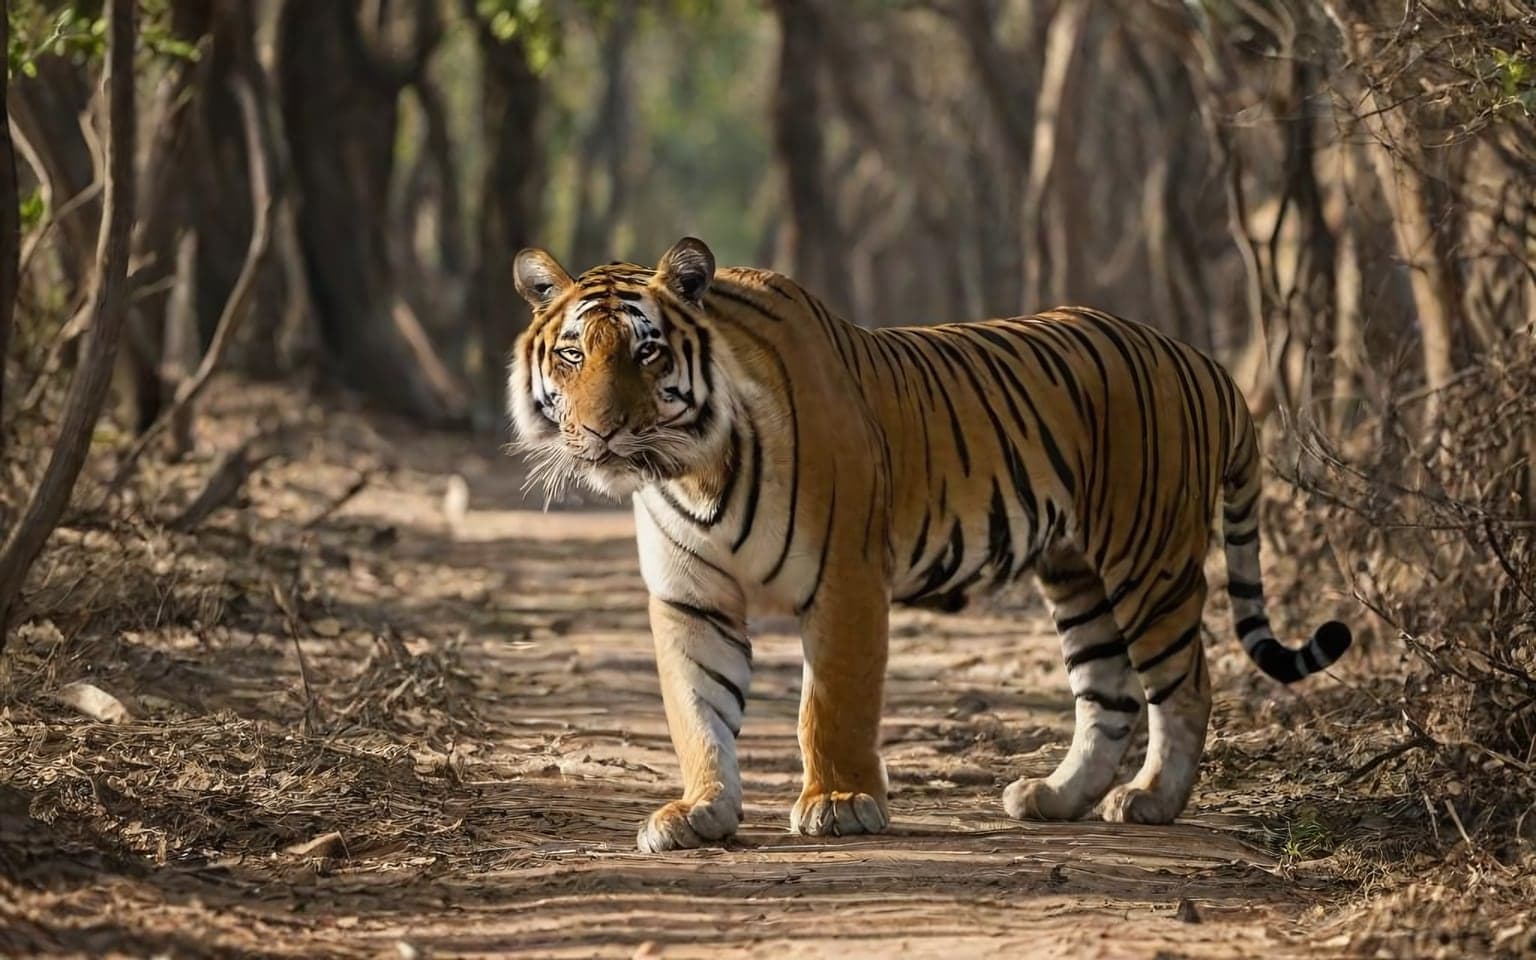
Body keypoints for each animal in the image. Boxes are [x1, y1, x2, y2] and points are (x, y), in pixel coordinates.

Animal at [507, 236, 1352, 852]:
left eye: (646, 353)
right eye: (573, 354)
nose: (602, 432)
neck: (693, 470)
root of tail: (1202, 361)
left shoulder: (845, 579)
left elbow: (832, 702)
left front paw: (840, 803)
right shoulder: (692, 599)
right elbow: (698, 708)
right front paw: (700, 809)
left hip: (1148, 559)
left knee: (1185, 683)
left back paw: (1149, 799)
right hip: (1077, 574)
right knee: (1106, 696)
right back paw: (1054, 797)